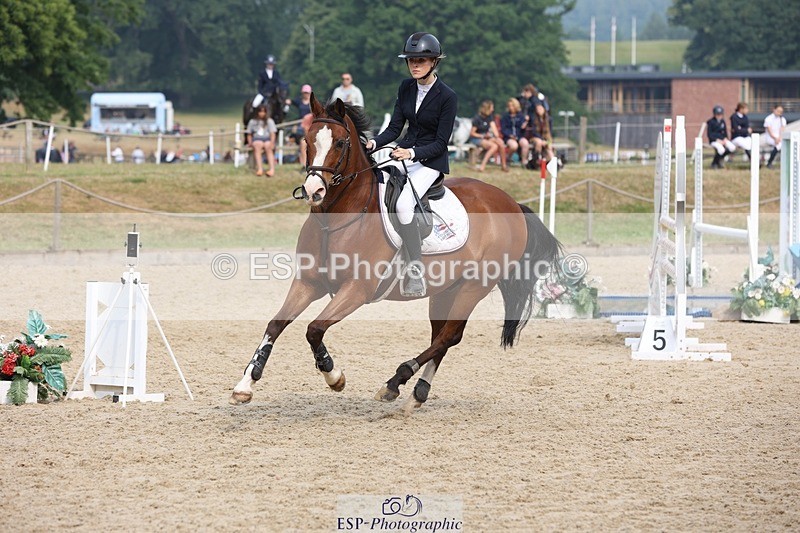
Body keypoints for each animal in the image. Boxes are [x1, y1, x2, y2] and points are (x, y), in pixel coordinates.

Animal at [230, 93, 561, 411]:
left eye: (340, 143)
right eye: (306, 141)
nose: (314, 191)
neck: (335, 219)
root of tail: (512, 203)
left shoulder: (356, 290)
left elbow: (314, 329)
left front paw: (334, 376)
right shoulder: (309, 283)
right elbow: (276, 324)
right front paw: (245, 384)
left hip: (474, 286)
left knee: (450, 336)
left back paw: (396, 381)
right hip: (445, 289)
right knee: (440, 336)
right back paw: (417, 392)